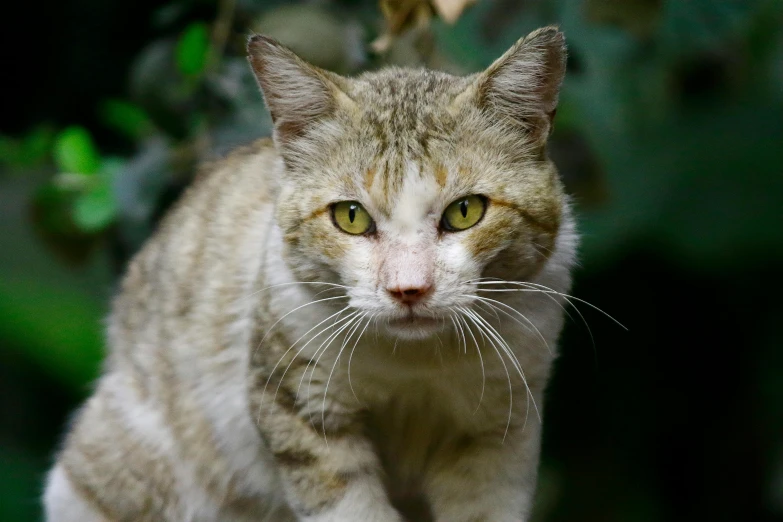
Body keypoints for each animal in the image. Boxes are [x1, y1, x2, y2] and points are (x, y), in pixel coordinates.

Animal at [46, 25, 580, 520]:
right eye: (351, 216)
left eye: (465, 211)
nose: (408, 288)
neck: (416, 364)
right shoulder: (297, 401)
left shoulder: (500, 426)